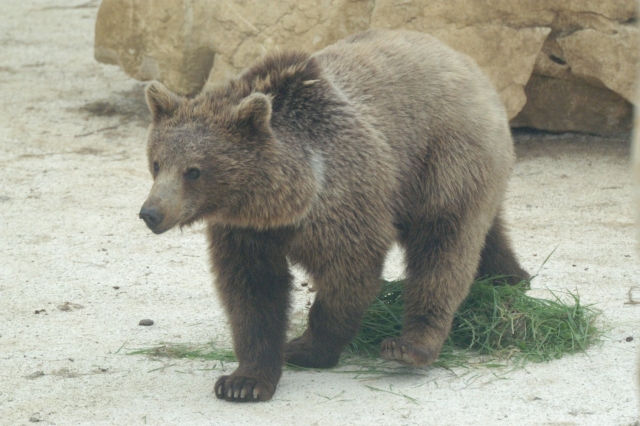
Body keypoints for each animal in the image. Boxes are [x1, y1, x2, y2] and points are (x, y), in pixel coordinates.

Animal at [139, 29, 529, 402]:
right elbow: (252, 291)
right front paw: (244, 381)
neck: (282, 202)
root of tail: (465, 62)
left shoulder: (345, 202)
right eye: (156, 163)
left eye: (194, 171)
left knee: (443, 246)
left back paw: (411, 344)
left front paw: (307, 348)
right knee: (486, 231)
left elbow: (348, 274)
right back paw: (510, 276)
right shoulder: (244, 231)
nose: (151, 213)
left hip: (444, 157)